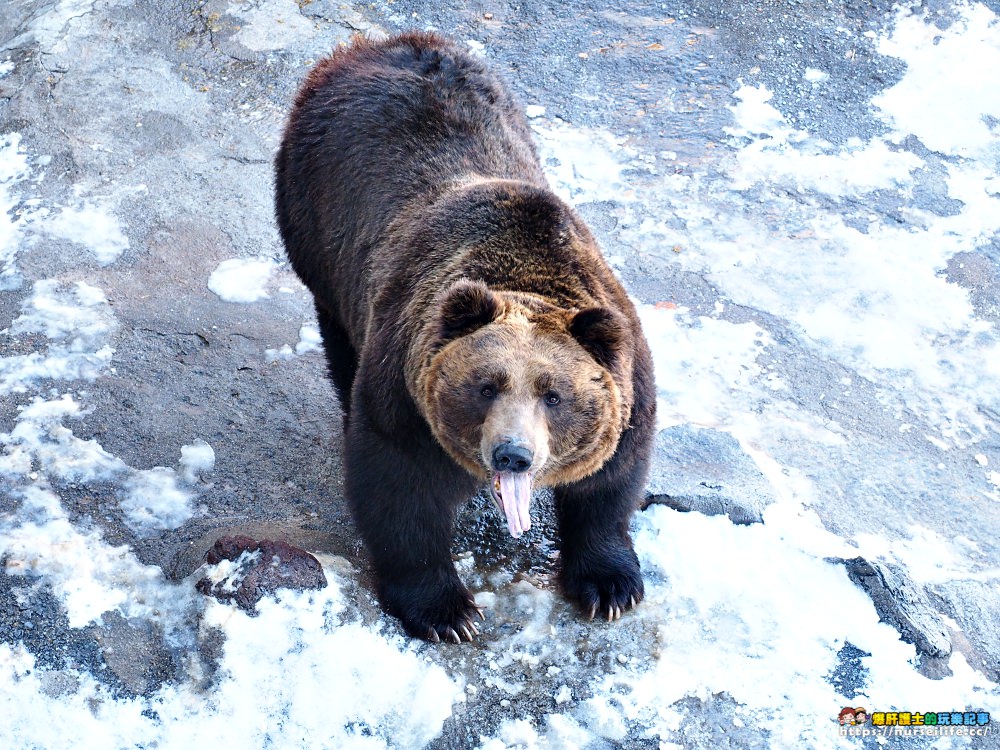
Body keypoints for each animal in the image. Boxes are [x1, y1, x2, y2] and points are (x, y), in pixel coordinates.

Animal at [274, 33, 656, 648]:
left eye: (554, 395)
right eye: (485, 386)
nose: (513, 454)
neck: (523, 267)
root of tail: (370, 46)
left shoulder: (628, 383)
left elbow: (609, 485)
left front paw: (610, 585)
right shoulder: (405, 396)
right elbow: (401, 492)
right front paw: (447, 611)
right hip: (317, 226)